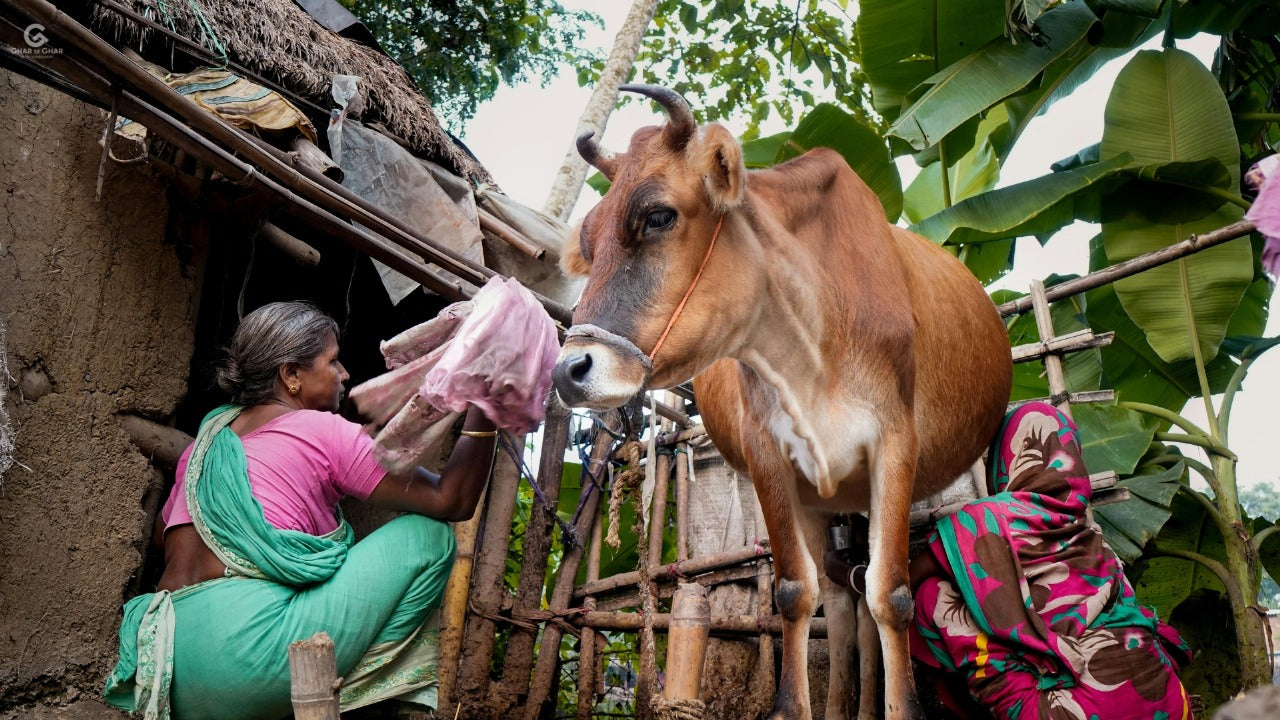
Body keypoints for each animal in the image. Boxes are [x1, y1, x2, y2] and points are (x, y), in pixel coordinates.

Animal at [552, 85, 1012, 720]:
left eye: (659, 215)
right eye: (588, 245)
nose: (569, 370)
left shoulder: (896, 443)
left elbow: (891, 595)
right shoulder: (767, 451)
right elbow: (795, 591)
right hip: (823, 497)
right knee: (840, 600)